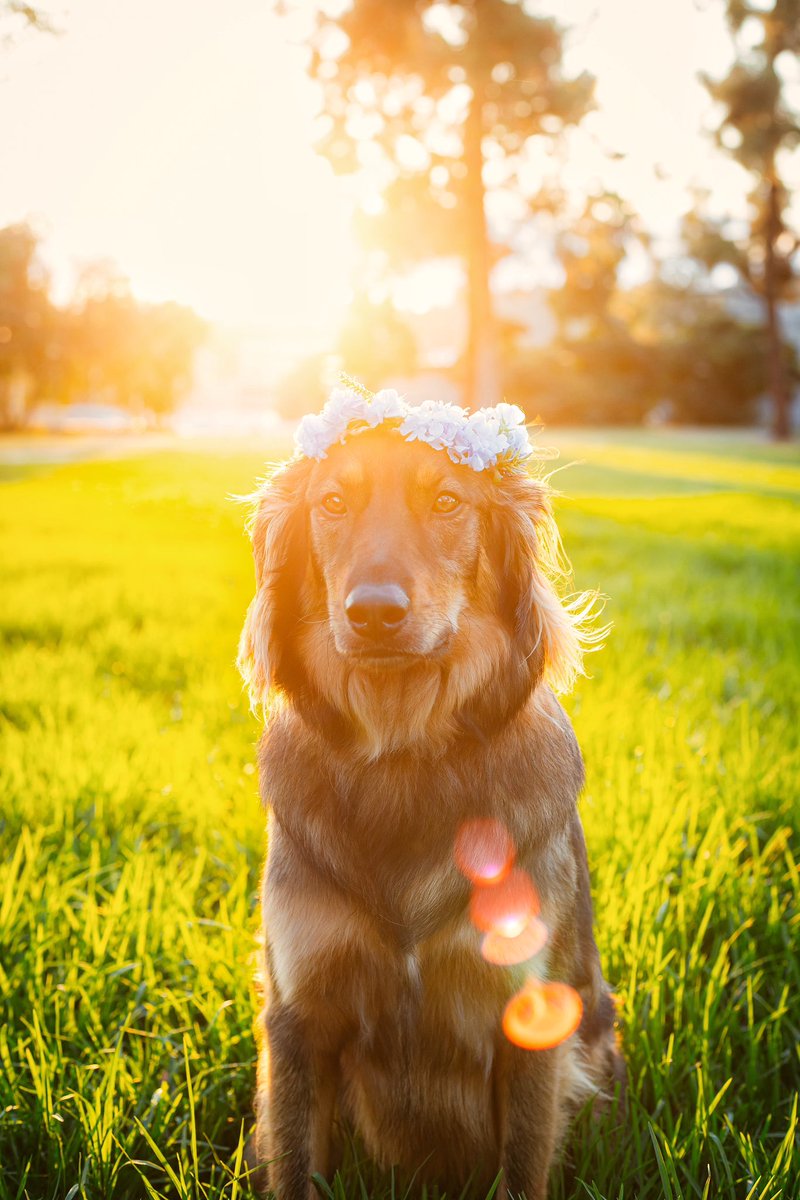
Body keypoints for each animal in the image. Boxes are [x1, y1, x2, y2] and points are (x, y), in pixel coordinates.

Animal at [237, 405, 623, 1200]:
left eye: (446, 502)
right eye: (333, 503)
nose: (374, 612)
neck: (403, 749)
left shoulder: (531, 1020)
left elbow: (522, 1169)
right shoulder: (299, 1018)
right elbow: (294, 1162)